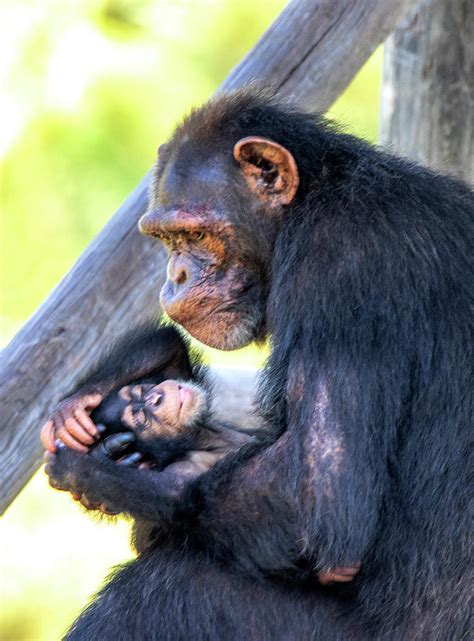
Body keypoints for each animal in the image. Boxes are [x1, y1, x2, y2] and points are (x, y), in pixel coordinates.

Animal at [42, 90, 472, 640]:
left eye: (194, 234)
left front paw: (97, 477)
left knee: (155, 595)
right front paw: (84, 400)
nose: (176, 275)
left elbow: (317, 503)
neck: (307, 207)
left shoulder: (336, 272)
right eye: (166, 239)